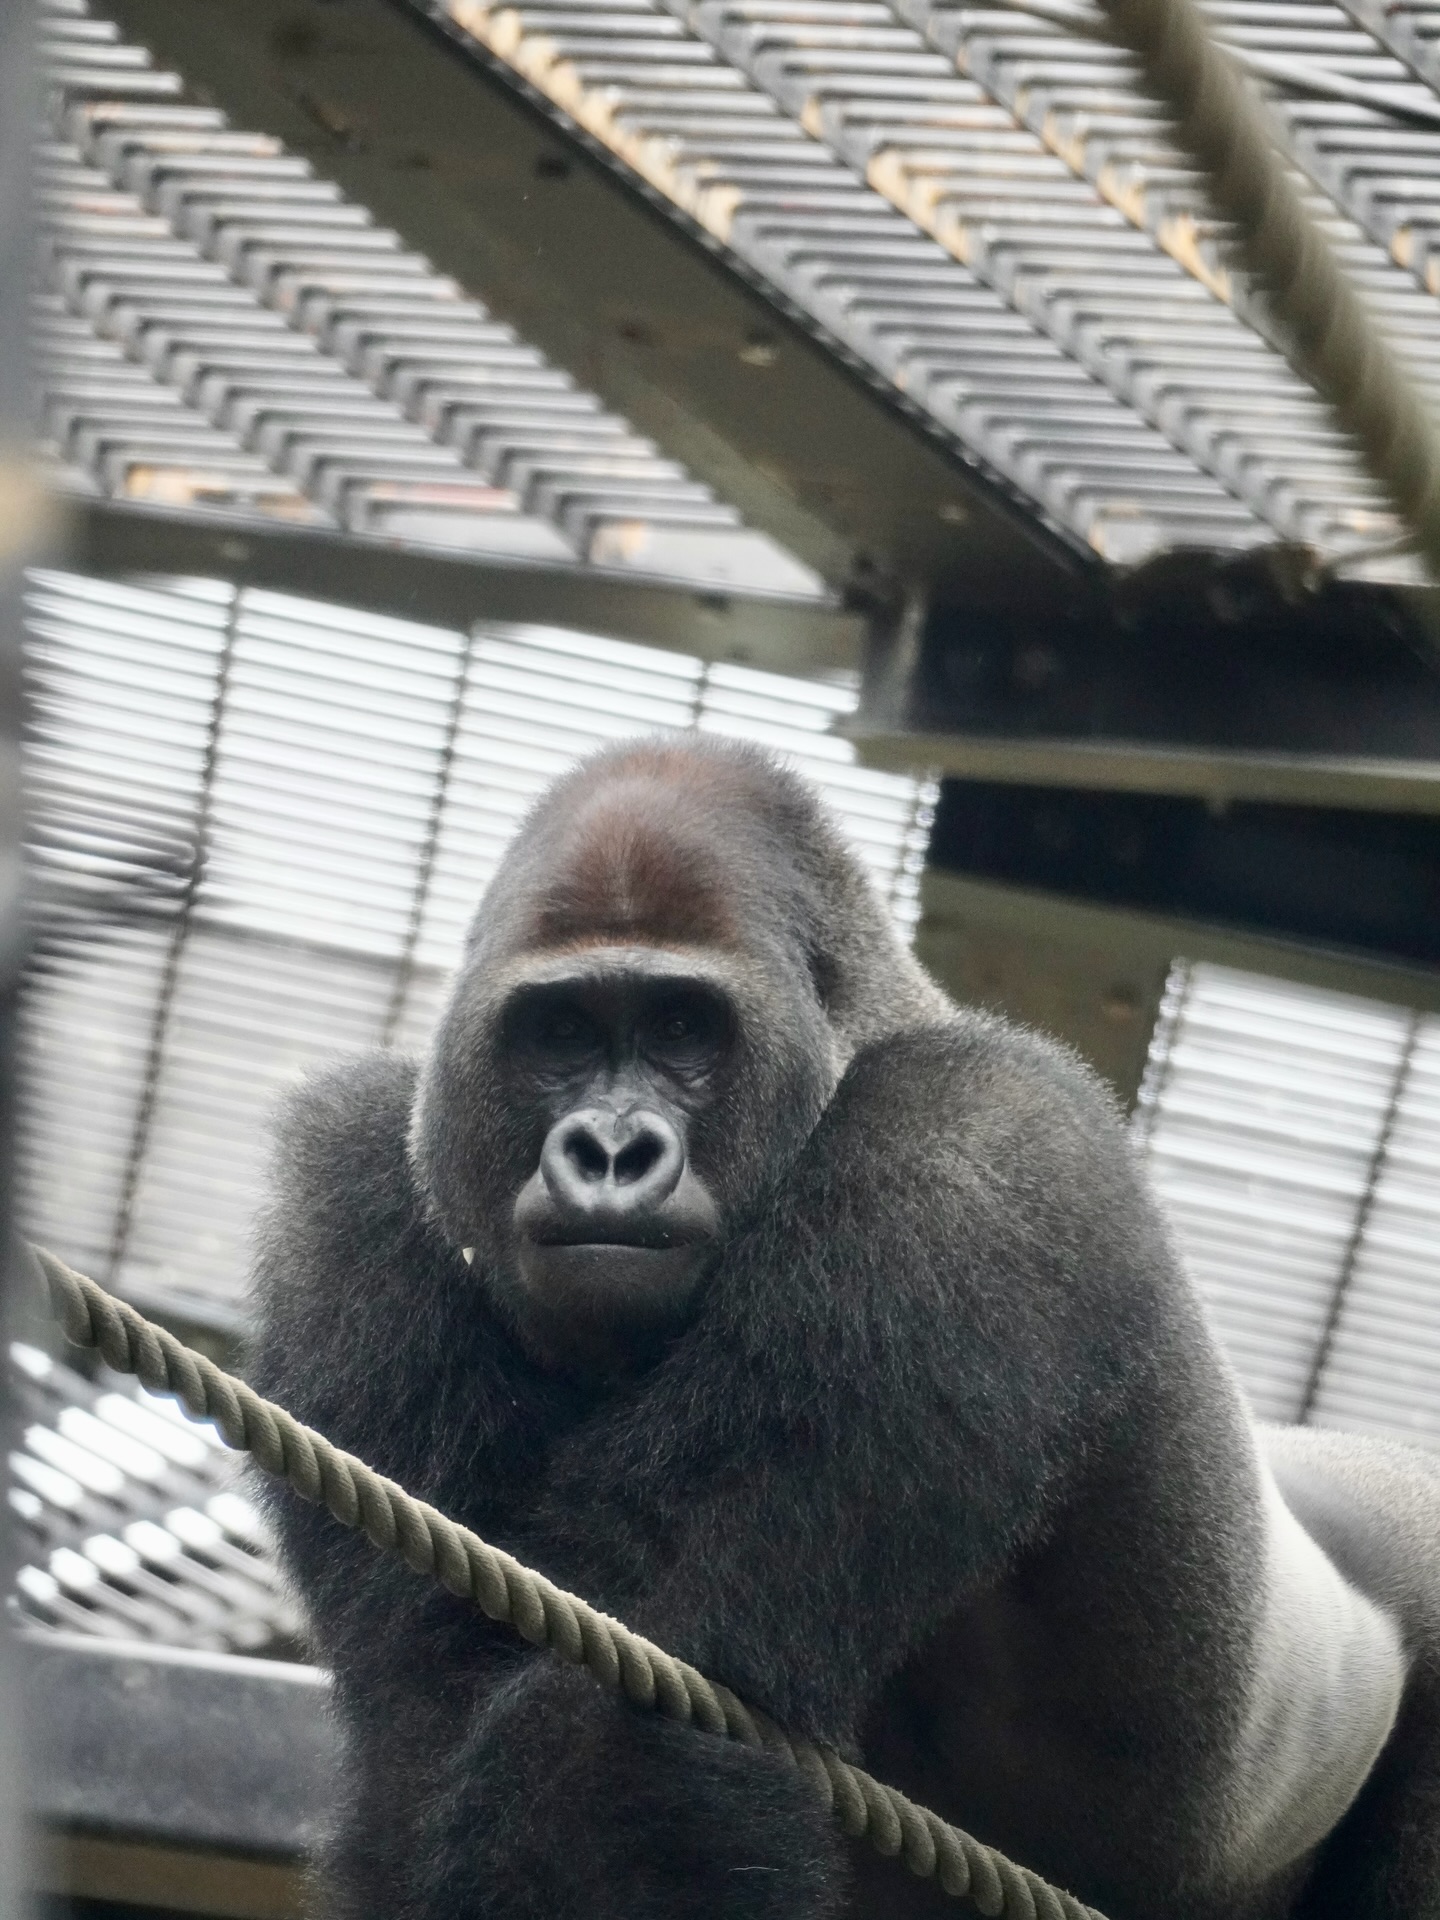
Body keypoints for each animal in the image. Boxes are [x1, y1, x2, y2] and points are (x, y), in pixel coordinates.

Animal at [250, 735, 1440, 1920]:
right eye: (560, 1033)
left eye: (681, 1027)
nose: (611, 1152)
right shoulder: (353, 1179)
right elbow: (427, 1728)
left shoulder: (972, 1153)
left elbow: (620, 1728)